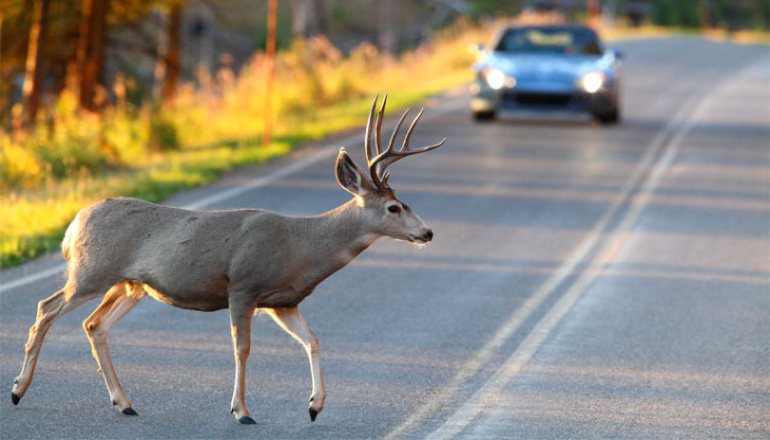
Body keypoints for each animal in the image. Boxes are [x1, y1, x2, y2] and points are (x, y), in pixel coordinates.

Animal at [10, 94, 444, 424]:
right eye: (393, 207)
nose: (427, 232)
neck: (300, 247)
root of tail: (74, 223)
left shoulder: (283, 301)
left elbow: (313, 341)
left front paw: (315, 406)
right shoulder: (243, 286)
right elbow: (242, 349)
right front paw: (242, 411)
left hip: (131, 284)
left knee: (94, 324)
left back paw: (124, 403)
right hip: (91, 270)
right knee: (46, 308)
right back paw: (18, 390)